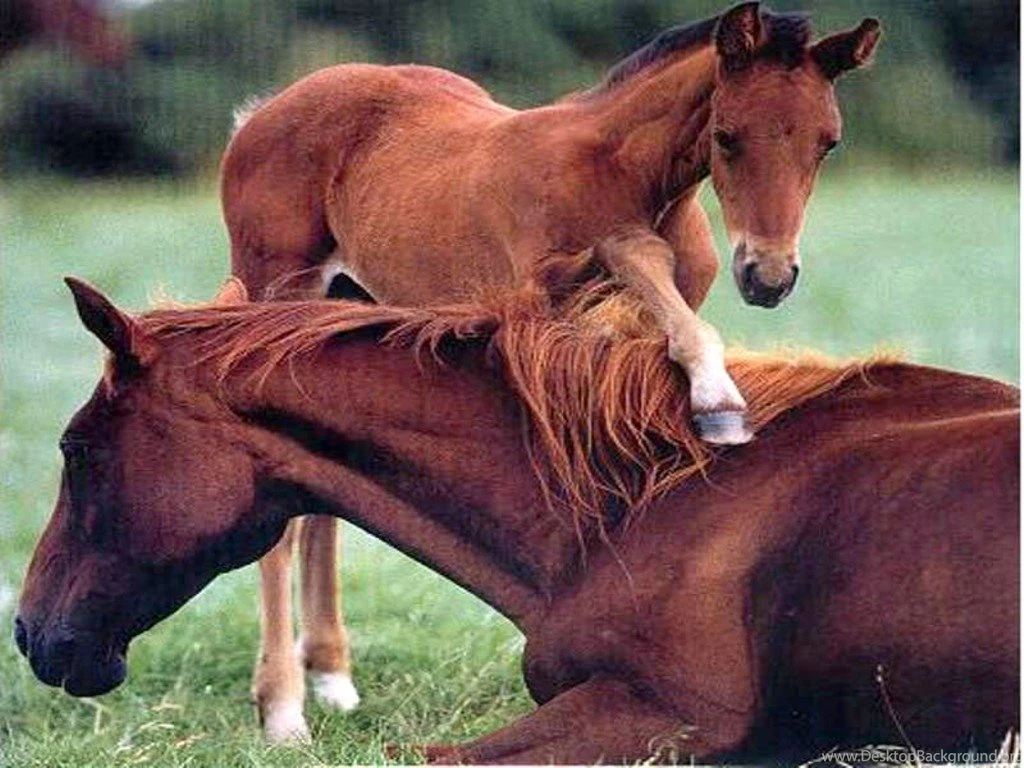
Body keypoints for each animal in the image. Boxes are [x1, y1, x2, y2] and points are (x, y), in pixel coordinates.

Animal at [221, 2, 883, 737]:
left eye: (828, 143)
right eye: (727, 137)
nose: (768, 277)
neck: (629, 180)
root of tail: (263, 112)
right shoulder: (545, 316)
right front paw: (720, 403)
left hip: (352, 303)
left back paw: (333, 680)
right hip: (279, 289)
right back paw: (283, 710)